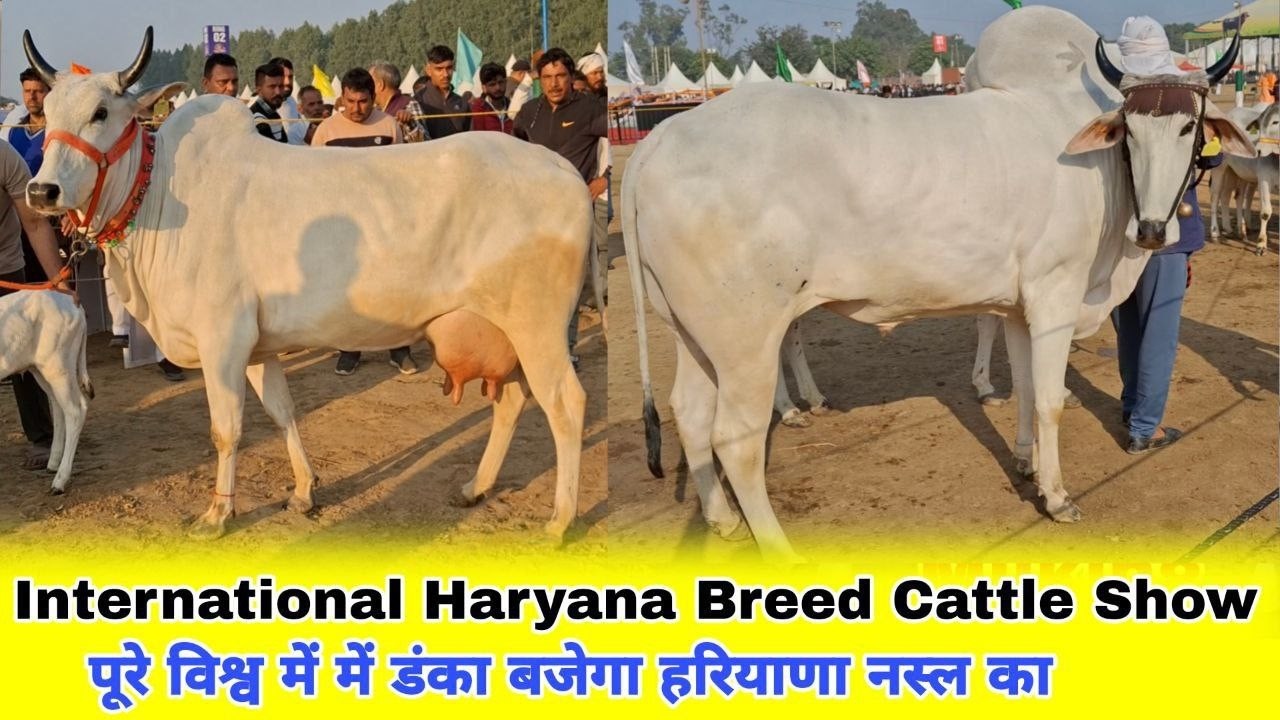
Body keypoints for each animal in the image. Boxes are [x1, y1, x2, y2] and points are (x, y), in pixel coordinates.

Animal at [0, 290, 93, 493]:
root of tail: (73, 303)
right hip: (39, 369)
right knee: (58, 406)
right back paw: (53, 463)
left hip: (58, 367)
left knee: (75, 410)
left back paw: (59, 481)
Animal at [22, 28, 592, 540]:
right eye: (46, 113)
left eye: (101, 113)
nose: (41, 191)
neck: (161, 190)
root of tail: (564, 169)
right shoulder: (256, 347)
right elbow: (281, 411)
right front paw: (304, 490)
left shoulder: (222, 340)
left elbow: (226, 429)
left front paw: (218, 512)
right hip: (506, 330)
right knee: (513, 400)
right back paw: (476, 487)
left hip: (538, 326)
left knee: (565, 405)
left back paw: (561, 520)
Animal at [622, 7, 1252, 562]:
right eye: (1132, 130)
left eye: (1189, 126)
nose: (1153, 230)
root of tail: (658, 140)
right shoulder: (1055, 296)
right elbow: (1050, 401)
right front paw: (1056, 497)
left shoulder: (1020, 309)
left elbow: (1025, 390)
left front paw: (1026, 465)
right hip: (746, 341)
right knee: (736, 439)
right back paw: (778, 549)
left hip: (695, 334)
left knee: (689, 415)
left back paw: (722, 520)